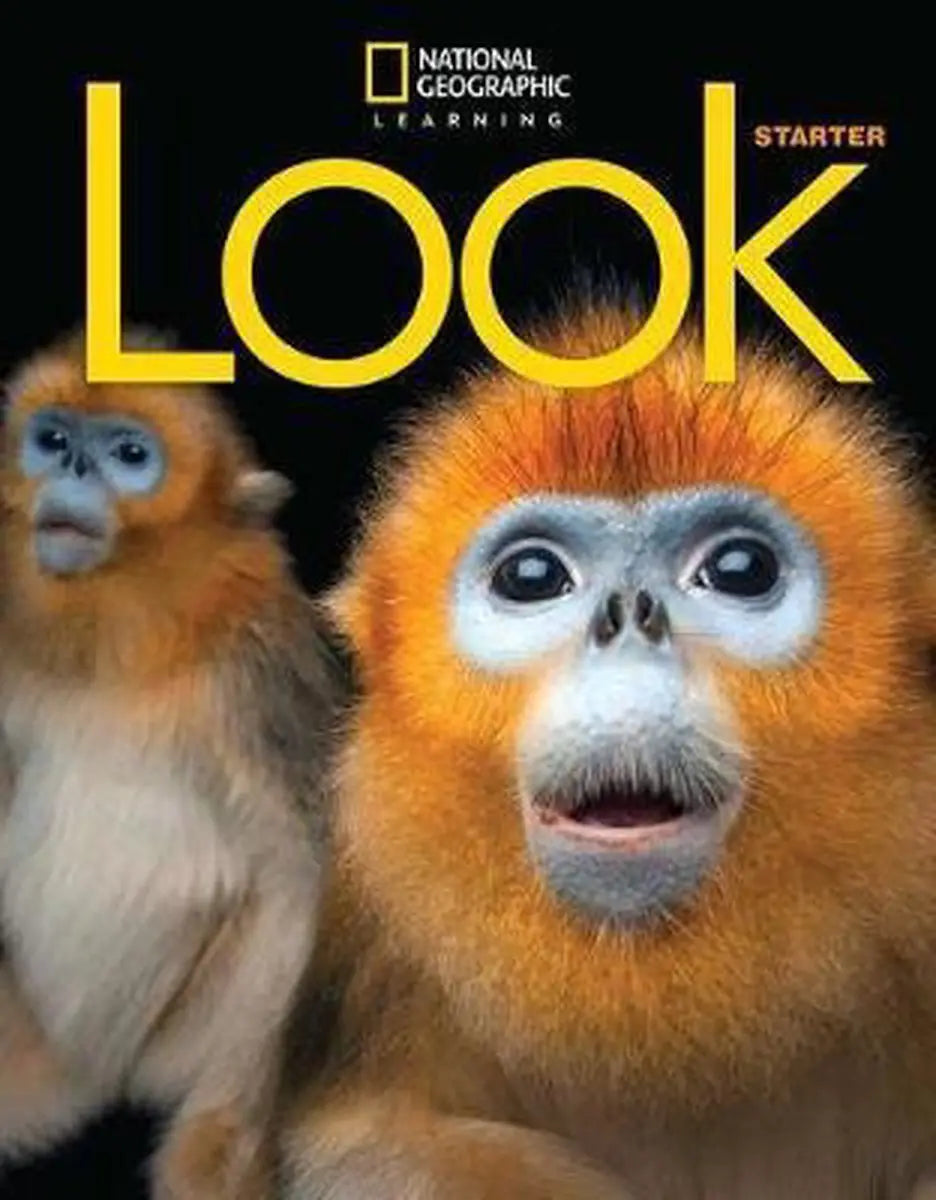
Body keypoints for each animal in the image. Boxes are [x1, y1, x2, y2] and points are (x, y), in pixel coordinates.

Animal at [0, 335, 345, 1199]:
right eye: (52, 438)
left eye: (131, 456)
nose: (72, 468)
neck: (112, 655)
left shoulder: (257, 673)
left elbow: (307, 879)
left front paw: (230, 1145)